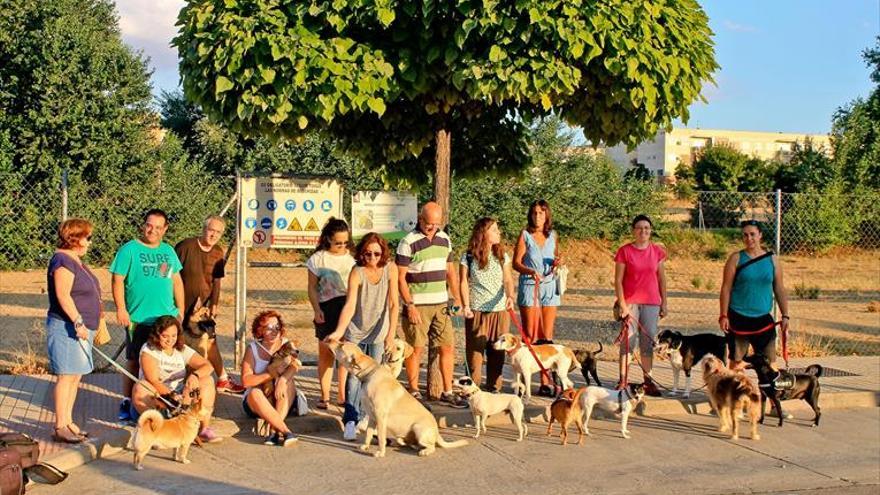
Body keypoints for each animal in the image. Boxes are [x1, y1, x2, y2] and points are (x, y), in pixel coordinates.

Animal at [328, 342, 468, 460]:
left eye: (341, 345)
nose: (329, 340)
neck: (370, 374)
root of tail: (437, 432)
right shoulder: (372, 418)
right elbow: (368, 434)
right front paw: (365, 446)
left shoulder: (380, 417)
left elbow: (381, 438)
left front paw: (380, 452)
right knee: (412, 443)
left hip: (418, 429)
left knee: (431, 446)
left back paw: (424, 451)